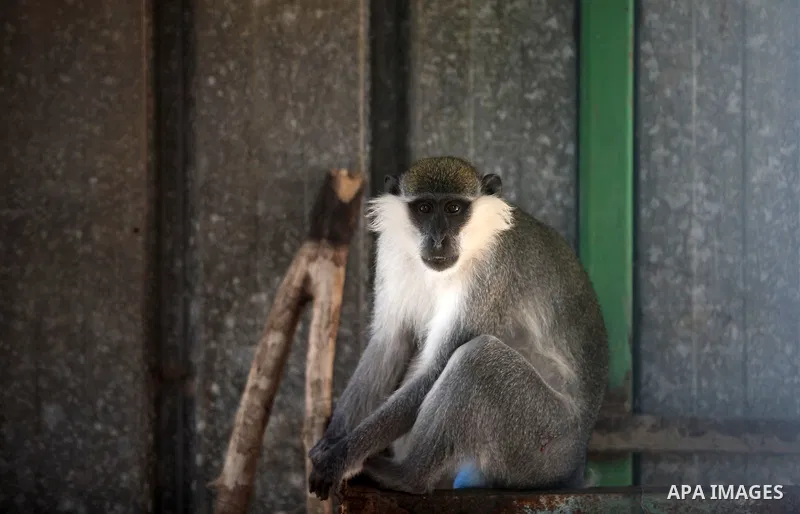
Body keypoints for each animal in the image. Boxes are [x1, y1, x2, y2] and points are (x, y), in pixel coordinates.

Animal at [307, 156, 608, 500]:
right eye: (424, 208)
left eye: (453, 208)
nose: (438, 241)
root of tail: (576, 462)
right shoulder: (390, 251)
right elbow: (389, 344)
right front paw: (330, 442)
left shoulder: (492, 272)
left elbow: (436, 367)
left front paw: (341, 458)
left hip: (543, 442)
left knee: (477, 359)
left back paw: (408, 476)